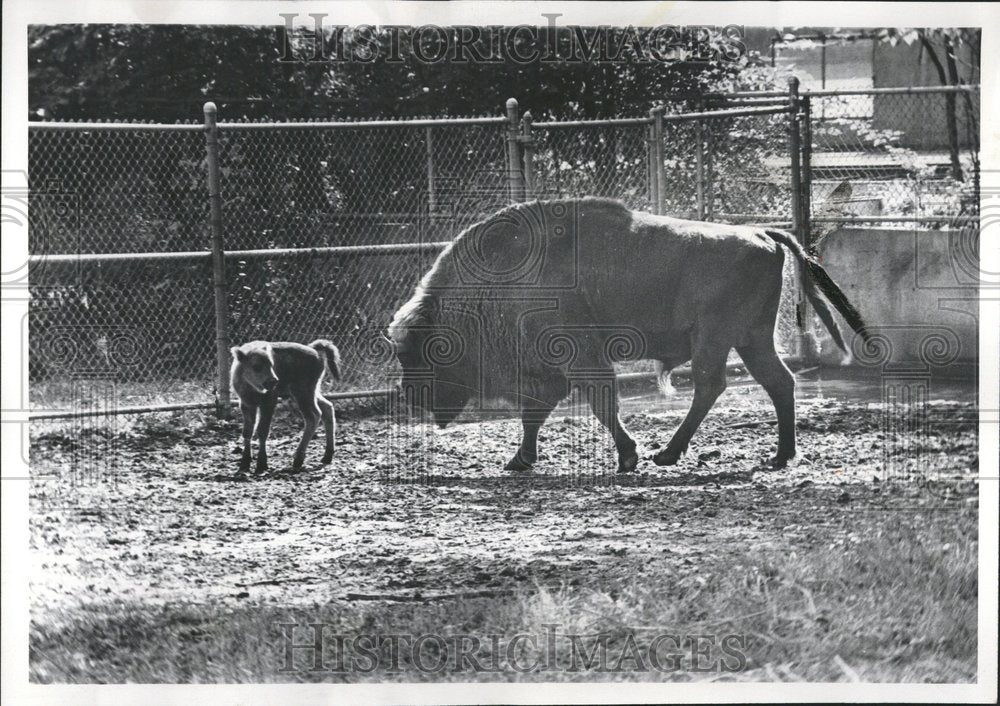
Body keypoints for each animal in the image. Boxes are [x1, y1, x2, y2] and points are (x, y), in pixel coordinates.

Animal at [231, 340, 344, 472]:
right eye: (256, 366)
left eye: (272, 365)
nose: (274, 381)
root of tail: (314, 350)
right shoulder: (246, 404)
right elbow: (248, 431)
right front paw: (244, 463)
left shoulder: (269, 403)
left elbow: (262, 431)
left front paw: (262, 464)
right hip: (310, 392)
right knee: (327, 407)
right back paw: (327, 456)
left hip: (302, 394)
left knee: (314, 416)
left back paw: (298, 460)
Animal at [390, 198, 868, 470]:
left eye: (418, 351)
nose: (410, 394)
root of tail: (758, 232)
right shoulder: (554, 371)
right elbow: (535, 414)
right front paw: (518, 461)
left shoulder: (579, 359)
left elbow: (601, 405)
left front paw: (628, 456)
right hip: (751, 339)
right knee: (777, 382)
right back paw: (780, 456)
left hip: (714, 338)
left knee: (711, 385)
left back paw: (668, 454)